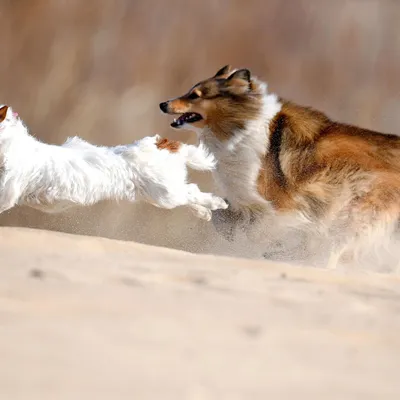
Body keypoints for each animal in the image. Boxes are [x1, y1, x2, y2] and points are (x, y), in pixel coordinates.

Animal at [0, 104, 227, 220]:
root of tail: (159, 143)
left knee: (192, 192)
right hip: (164, 194)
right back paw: (204, 212)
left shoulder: (7, 193)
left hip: (166, 194)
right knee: (191, 194)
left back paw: (217, 203)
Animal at [161, 65, 400, 268]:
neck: (243, 129)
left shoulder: (282, 204)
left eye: (195, 95)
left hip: (357, 206)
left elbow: (260, 230)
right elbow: (225, 216)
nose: (163, 104)